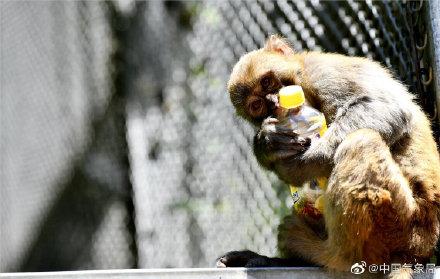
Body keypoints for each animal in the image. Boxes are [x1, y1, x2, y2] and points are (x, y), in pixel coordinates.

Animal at [216, 34, 440, 278]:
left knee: (361, 142)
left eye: (267, 82)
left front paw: (298, 167)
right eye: (257, 105)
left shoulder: (324, 73)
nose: (275, 102)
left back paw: (337, 257)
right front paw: (267, 142)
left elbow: (386, 109)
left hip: (399, 223)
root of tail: (419, 248)